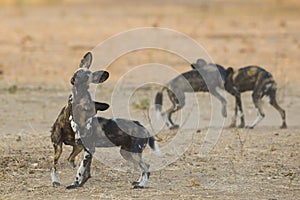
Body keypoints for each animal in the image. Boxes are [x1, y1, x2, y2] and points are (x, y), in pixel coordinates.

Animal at [65, 51, 159, 189]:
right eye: (77, 73)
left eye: (86, 77)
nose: (73, 80)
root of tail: (143, 128)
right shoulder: (87, 150)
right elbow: (85, 170)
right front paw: (81, 183)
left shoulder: (89, 150)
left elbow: (80, 170)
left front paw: (74, 183)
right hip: (126, 153)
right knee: (145, 167)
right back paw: (138, 182)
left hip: (133, 153)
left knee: (146, 168)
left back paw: (141, 185)